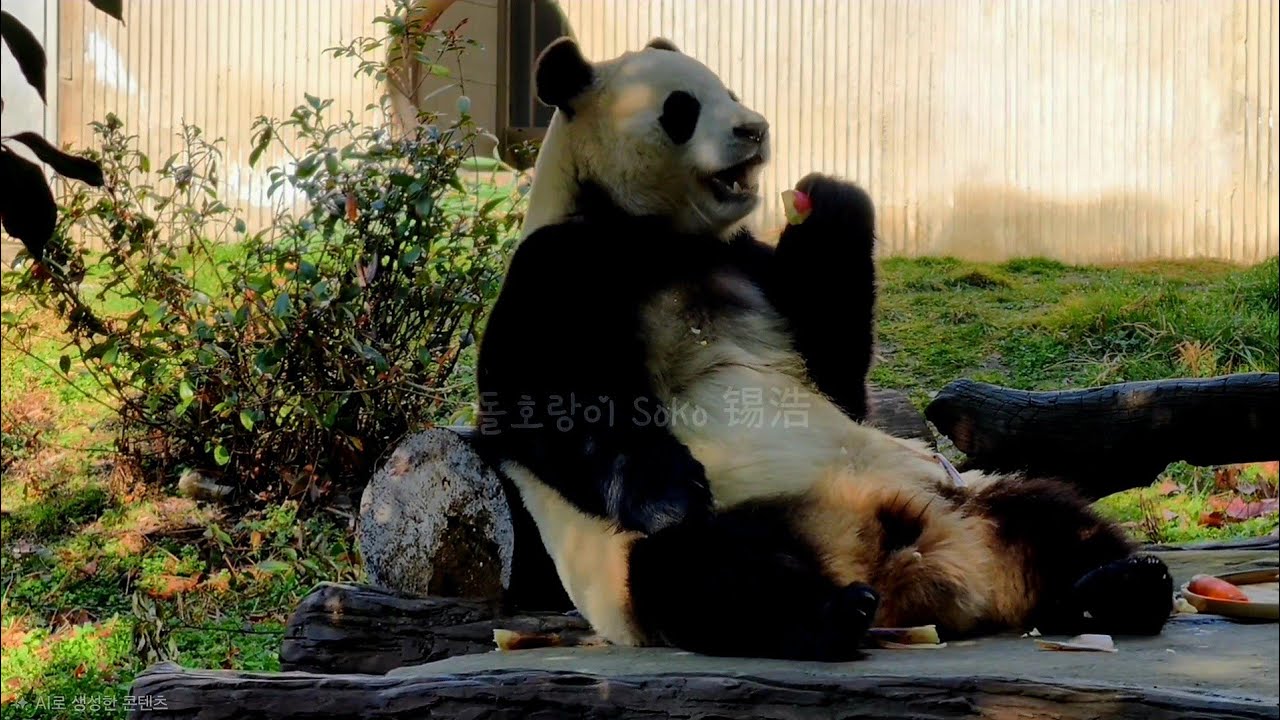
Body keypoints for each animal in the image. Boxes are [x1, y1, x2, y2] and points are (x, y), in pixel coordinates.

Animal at [474, 36, 1174, 661]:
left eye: (731, 92)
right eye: (682, 108)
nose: (755, 129)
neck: (663, 238)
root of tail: (911, 573)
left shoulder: (746, 267)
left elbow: (835, 372)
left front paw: (828, 199)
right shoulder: (562, 266)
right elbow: (540, 403)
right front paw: (670, 491)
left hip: (957, 490)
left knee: (1048, 512)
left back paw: (1119, 586)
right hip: (645, 556)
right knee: (704, 573)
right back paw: (831, 615)